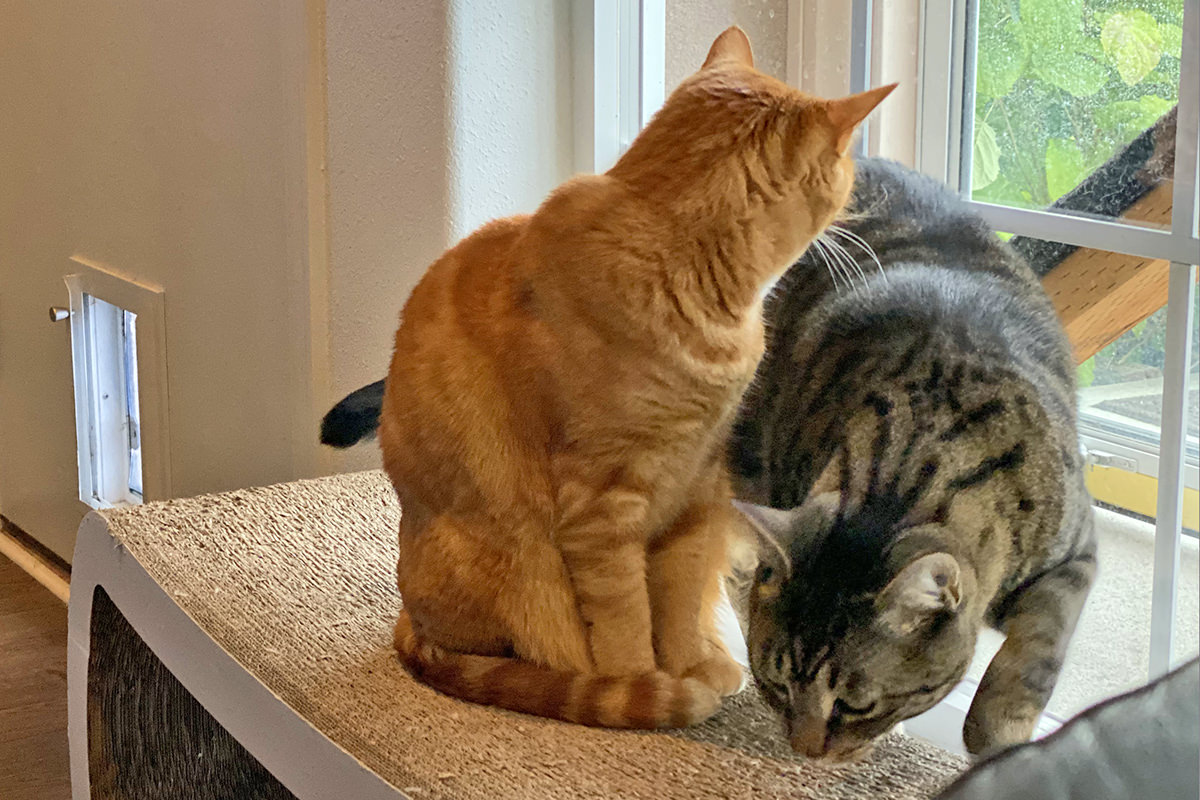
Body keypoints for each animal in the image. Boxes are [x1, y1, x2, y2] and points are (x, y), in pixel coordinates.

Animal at [379, 28, 897, 729]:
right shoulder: (601, 505)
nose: (859, 195)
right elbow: (624, 618)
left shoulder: (696, 486)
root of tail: (410, 618)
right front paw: (641, 690)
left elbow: (676, 602)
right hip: (510, 561)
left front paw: (690, 666)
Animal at [724, 158, 1099, 762]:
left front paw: (995, 738)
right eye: (777, 684)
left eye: (856, 705)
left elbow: (1033, 653)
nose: (805, 752)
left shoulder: (1078, 550)